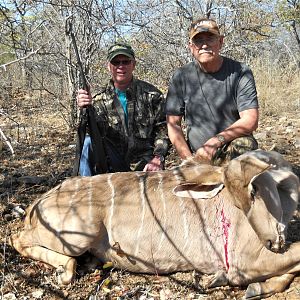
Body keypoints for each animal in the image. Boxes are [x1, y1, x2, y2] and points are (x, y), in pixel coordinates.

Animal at [9, 150, 300, 298]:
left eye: (254, 190)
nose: (272, 241)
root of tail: (38, 203)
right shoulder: (247, 260)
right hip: (77, 237)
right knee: (17, 239)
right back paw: (64, 270)